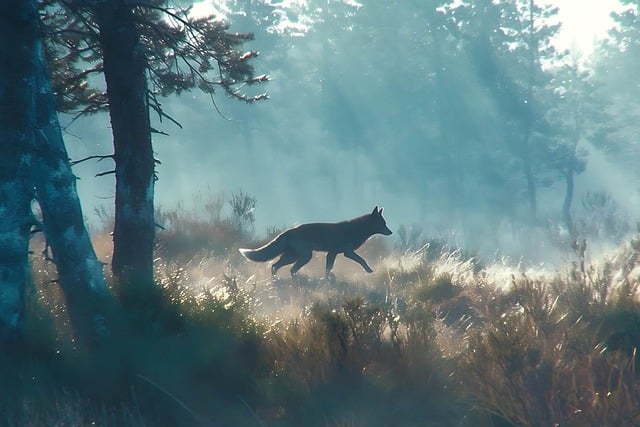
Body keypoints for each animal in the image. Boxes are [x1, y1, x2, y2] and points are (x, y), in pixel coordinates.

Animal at [239, 206, 392, 278]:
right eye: (383, 224)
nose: (390, 232)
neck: (357, 229)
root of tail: (289, 231)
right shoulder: (347, 252)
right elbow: (362, 260)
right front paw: (370, 271)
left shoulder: (332, 253)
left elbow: (328, 269)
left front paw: (327, 281)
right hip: (305, 256)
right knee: (289, 269)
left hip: (293, 256)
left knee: (275, 266)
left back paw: (276, 281)